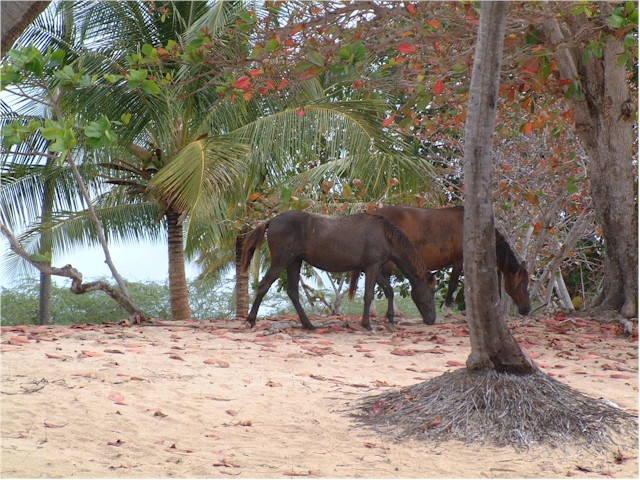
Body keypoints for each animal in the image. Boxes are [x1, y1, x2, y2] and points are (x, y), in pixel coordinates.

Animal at [240, 210, 437, 331]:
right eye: (431, 292)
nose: (432, 319)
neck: (383, 235)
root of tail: (271, 220)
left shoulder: (372, 268)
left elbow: (388, 290)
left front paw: (390, 319)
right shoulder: (372, 267)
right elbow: (369, 295)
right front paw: (367, 324)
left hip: (294, 262)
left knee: (293, 292)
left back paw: (309, 325)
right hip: (281, 261)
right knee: (264, 286)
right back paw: (251, 320)